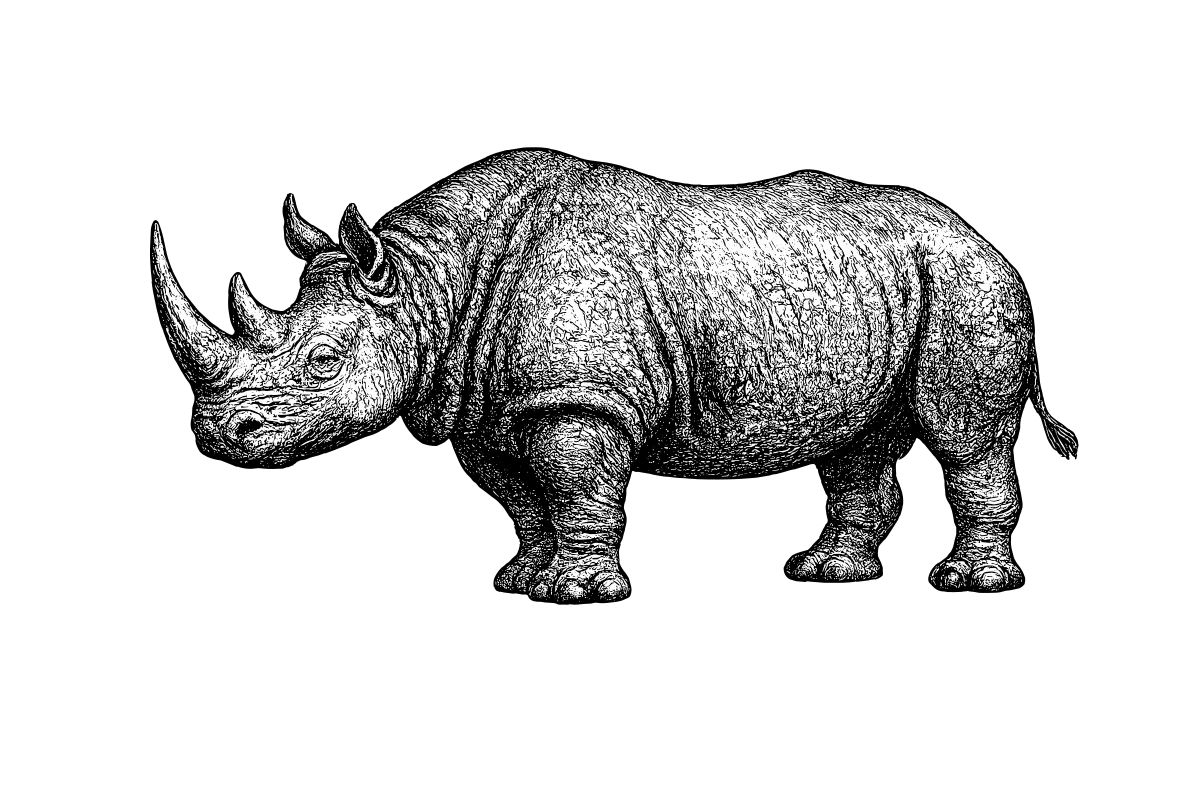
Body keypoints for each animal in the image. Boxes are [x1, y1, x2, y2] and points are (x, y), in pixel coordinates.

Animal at [152, 151, 1075, 597]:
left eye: (323, 361)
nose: (217, 432)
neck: (430, 283)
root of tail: (981, 236)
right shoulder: (487, 402)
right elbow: (524, 498)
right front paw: (524, 579)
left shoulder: (576, 398)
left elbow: (574, 486)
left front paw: (580, 590)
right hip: (884, 286)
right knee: (859, 440)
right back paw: (827, 574)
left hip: (968, 283)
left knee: (965, 435)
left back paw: (971, 583)